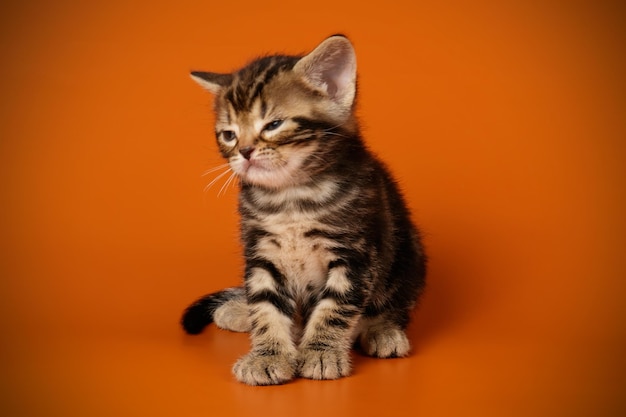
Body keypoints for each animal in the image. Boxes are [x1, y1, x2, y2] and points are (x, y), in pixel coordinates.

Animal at [179, 34, 424, 386]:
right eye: (229, 134)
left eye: (274, 124)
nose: (245, 151)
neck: (291, 199)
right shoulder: (263, 252)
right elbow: (265, 305)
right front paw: (268, 355)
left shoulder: (355, 253)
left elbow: (335, 308)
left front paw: (321, 352)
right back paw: (239, 310)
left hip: (408, 256)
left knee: (396, 301)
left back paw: (384, 331)